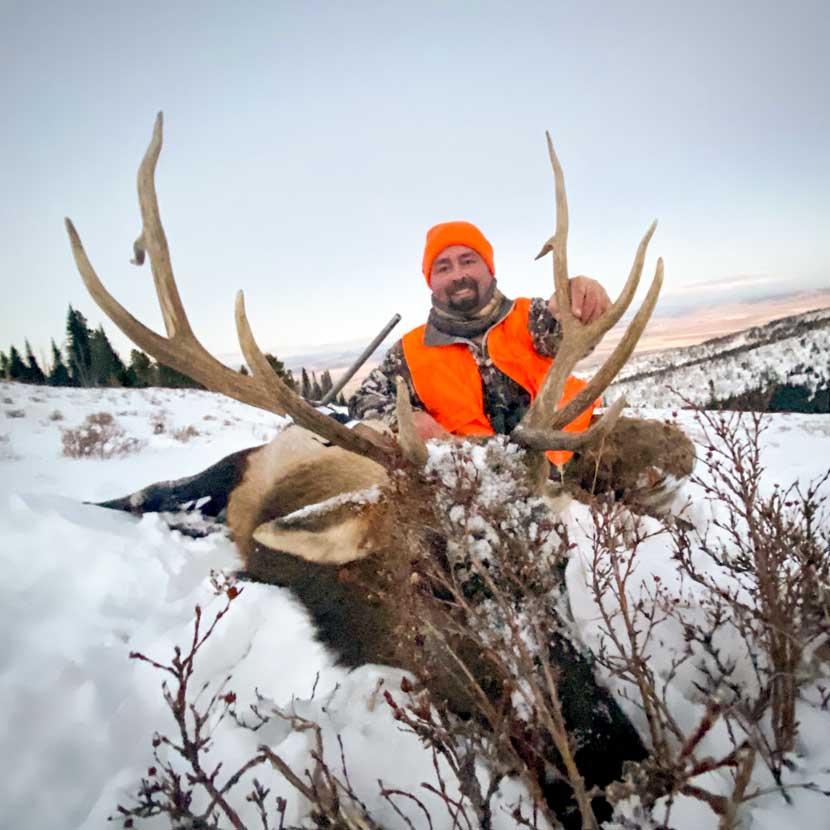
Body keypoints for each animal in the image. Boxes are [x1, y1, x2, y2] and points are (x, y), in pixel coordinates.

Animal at [65, 113, 677, 828]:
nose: (617, 767)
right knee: (158, 490)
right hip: (228, 467)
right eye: (439, 585)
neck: (367, 611)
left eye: (560, 557)